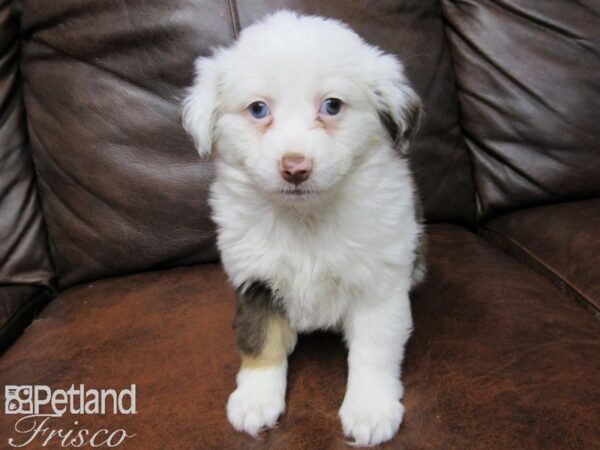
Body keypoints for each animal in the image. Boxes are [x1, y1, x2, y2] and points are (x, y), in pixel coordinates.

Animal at [183, 10, 422, 446]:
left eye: (332, 105)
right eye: (258, 109)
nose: (295, 168)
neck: (305, 217)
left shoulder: (379, 282)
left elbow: (374, 348)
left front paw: (370, 408)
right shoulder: (255, 279)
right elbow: (260, 339)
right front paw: (256, 399)